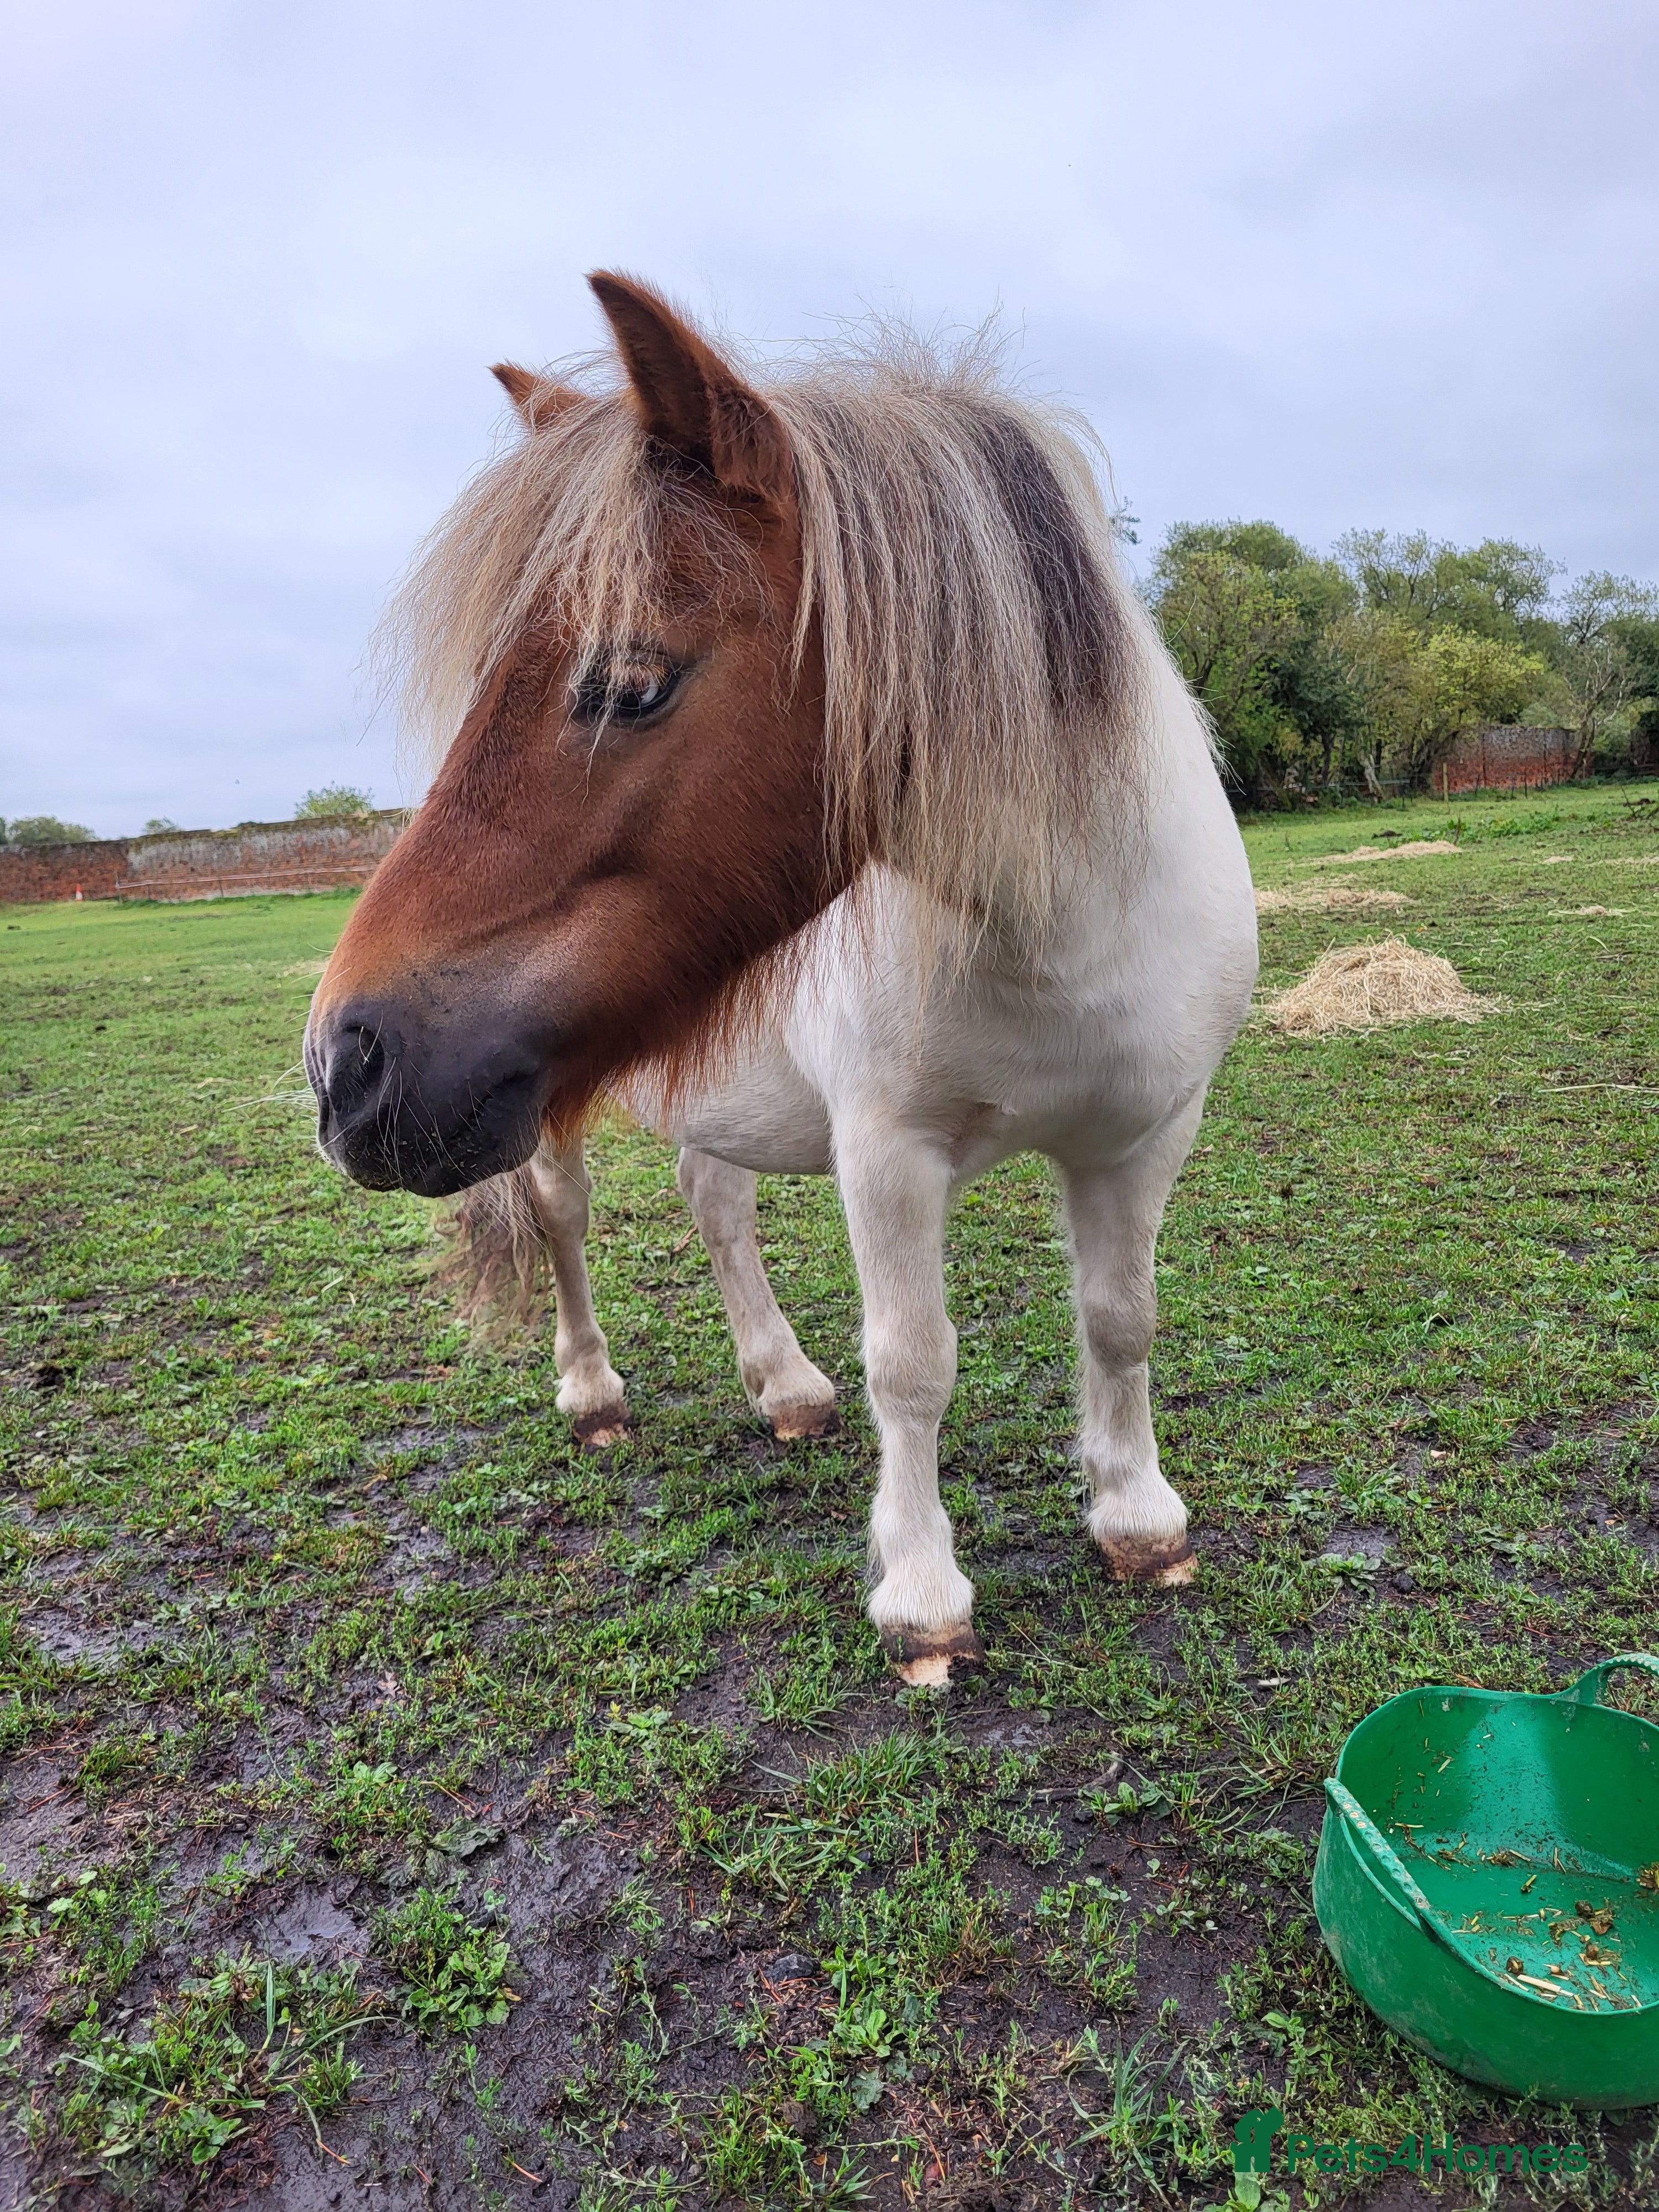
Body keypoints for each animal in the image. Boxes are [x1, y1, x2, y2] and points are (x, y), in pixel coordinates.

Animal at [305, 272, 1258, 1686]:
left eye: (628, 683)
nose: (343, 1063)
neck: (1054, 927)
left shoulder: (1144, 1134)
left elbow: (1120, 1318)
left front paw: (1139, 1517)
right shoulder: (886, 1151)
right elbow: (914, 1363)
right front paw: (923, 1596)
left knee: (717, 1207)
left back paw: (783, 1384)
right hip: (542, 1114)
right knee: (563, 1217)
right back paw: (592, 1390)